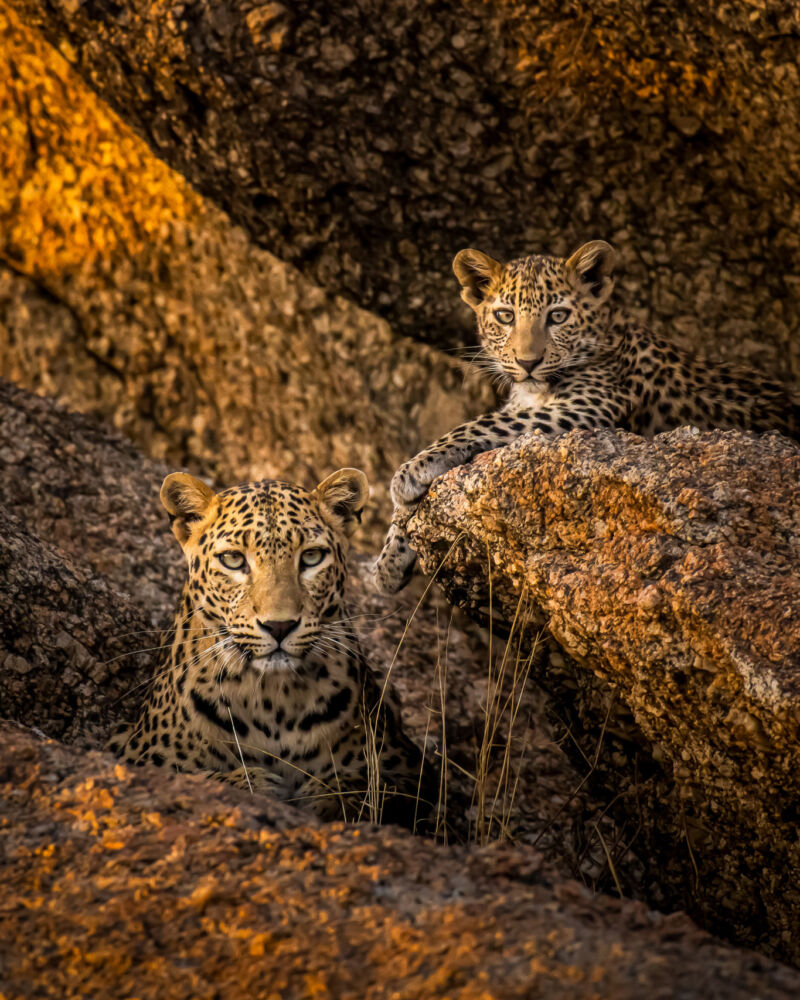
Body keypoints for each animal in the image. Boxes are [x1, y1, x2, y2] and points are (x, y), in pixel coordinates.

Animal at [109, 468, 431, 827]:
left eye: (311, 557)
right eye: (233, 559)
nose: (279, 626)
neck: (272, 699)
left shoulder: (411, 771)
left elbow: (367, 787)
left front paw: (322, 795)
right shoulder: (137, 752)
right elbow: (195, 778)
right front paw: (257, 784)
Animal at [376, 239, 800, 592]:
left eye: (558, 316)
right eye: (505, 316)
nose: (528, 362)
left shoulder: (584, 409)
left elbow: (481, 423)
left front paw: (409, 472)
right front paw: (388, 561)